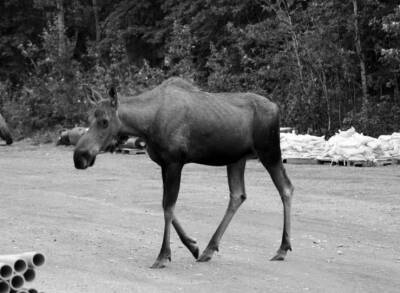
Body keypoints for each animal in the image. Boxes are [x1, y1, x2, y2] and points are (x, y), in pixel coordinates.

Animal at [73, 77, 294, 266]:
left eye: (104, 121)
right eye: (88, 118)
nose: (79, 156)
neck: (146, 125)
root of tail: (276, 107)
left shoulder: (174, 162)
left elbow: (168, 207)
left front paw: (163, 255)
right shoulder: (164, 164)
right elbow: (165, 205)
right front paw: (192, 246)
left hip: (269, 151)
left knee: (286, 188)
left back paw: (283, 248)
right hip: (236, 159)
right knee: (238, 194)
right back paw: (209, 249)